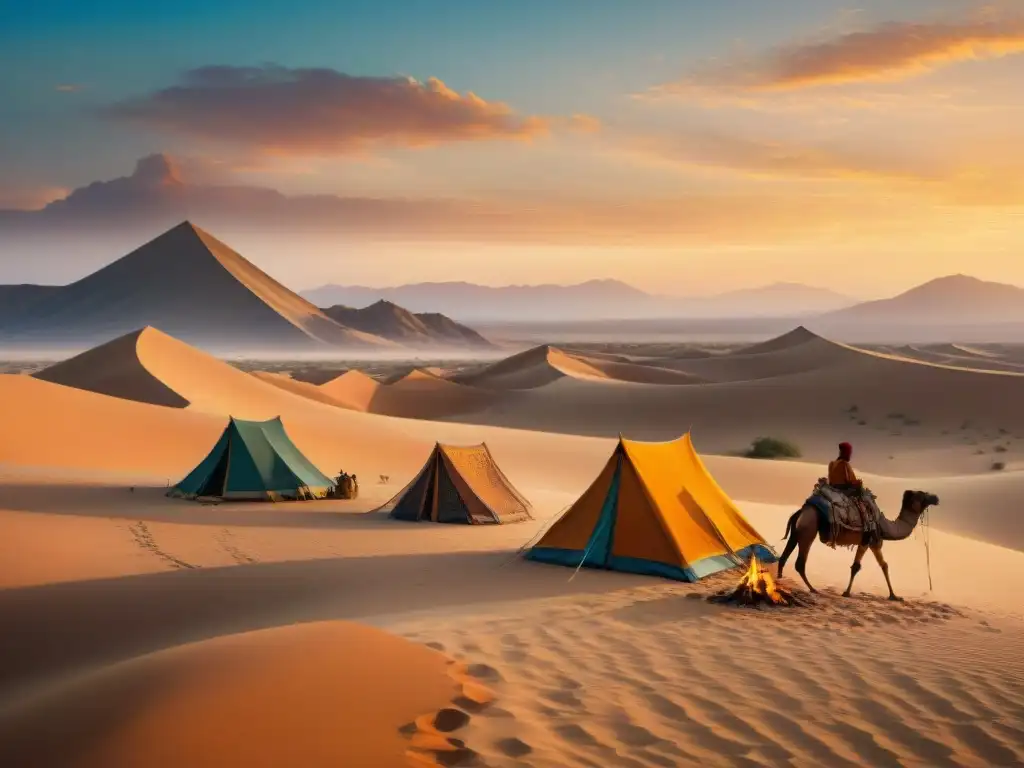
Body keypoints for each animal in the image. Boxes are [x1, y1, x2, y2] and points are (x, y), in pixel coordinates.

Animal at [778, 493, 937, 602]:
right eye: (922, 495)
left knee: (784, 557)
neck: (884, 526)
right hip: (808, 531)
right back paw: (812, 589)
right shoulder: (870, 541)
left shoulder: (869, 542)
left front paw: (894, 596)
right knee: (800, 563)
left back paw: (780, 581)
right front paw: (847, 593)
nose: (935, 498)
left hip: (796, 532)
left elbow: (879, 565)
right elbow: (862, 566)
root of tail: (801, 511)